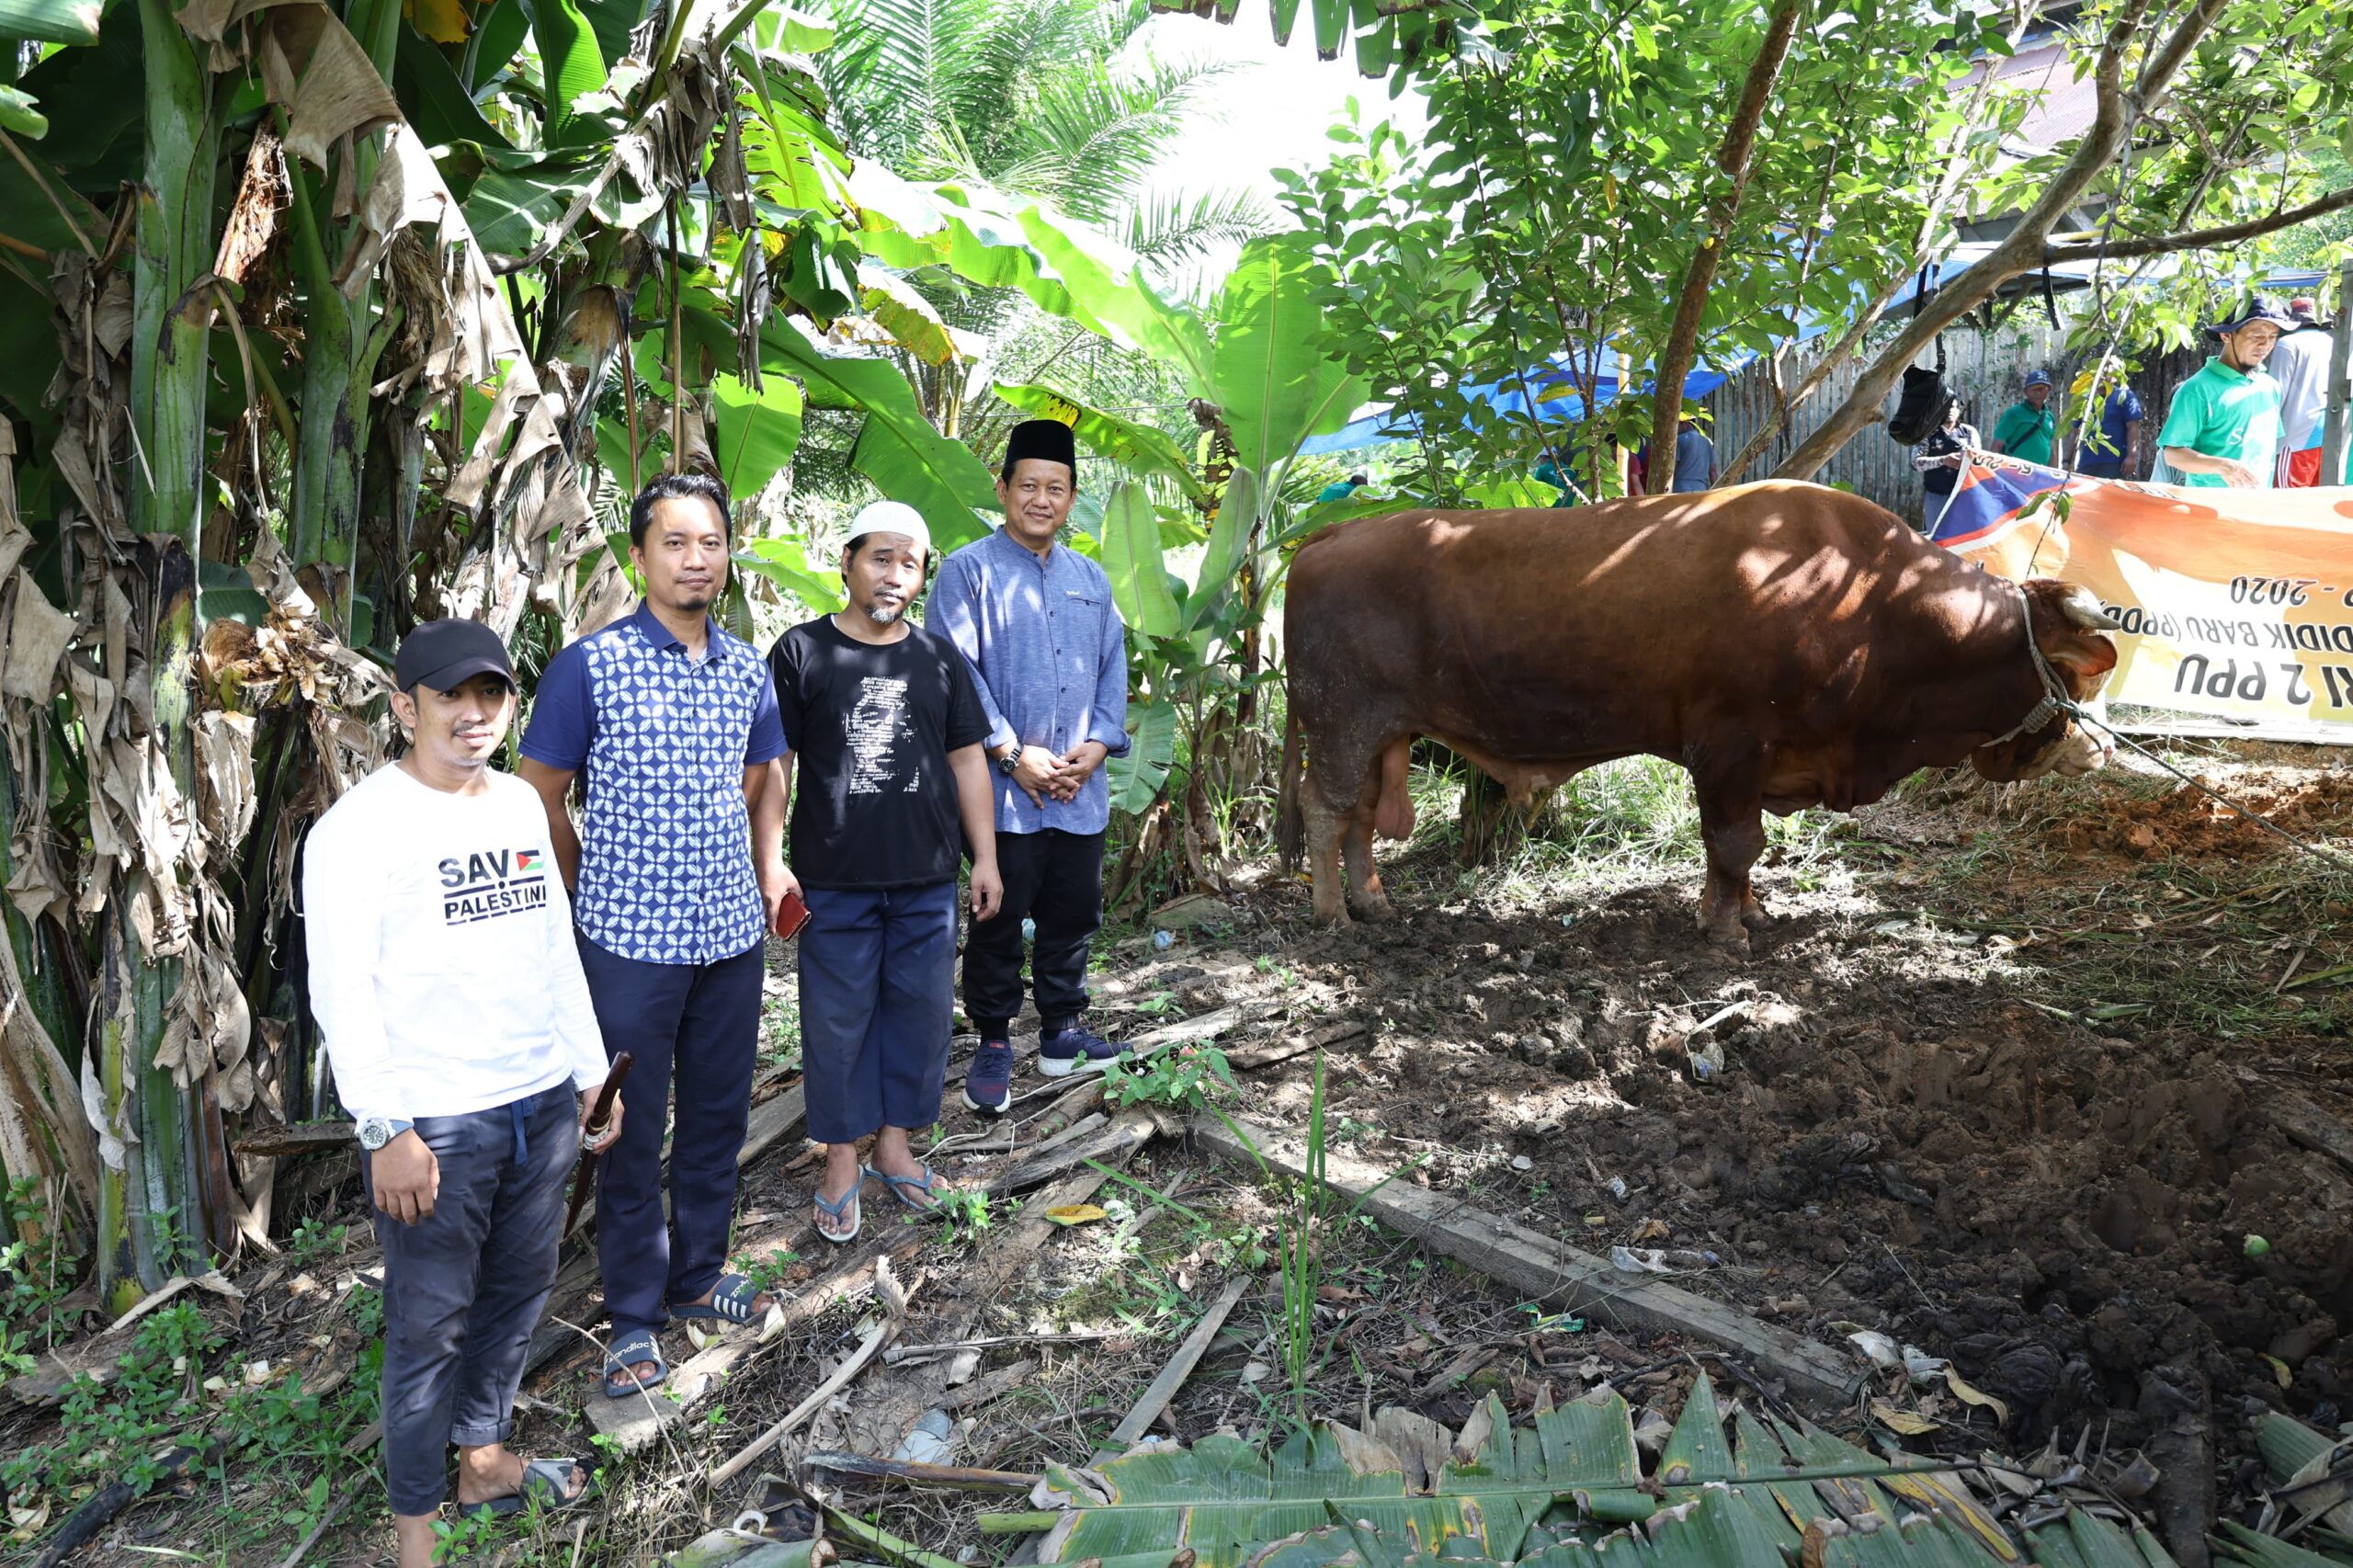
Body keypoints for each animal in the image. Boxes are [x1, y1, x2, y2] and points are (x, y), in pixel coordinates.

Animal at [1279, 475, 2127, 941]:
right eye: (2077, 679)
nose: (2105, 748)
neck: (1869, 599)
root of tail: (1331, 535)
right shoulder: (1730, 747)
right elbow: (1736, 844)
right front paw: (1725, 930)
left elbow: (1739, 854)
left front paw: (1746, 915)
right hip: (1341, 722)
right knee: (1326, 810)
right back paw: (1328, 915)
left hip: (1380, 734)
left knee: (1359, 818)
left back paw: (1373, 903)